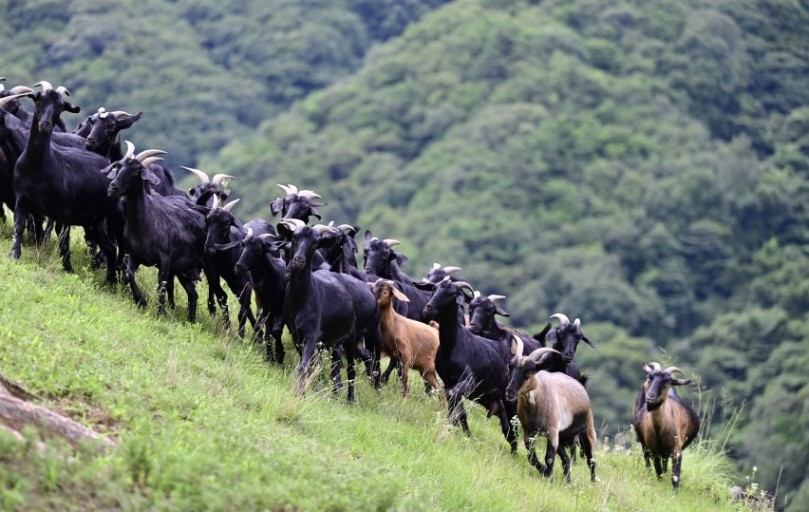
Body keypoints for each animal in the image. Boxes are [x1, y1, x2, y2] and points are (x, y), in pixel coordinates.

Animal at [103, 141, 206, 321]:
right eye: (118, 166)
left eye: (136, 171)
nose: (112, 188)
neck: (145, 224)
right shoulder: (134, 255)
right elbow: (129, 274)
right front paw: (141, 302)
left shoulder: (165, 260)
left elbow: (161, 286)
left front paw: (161, 313)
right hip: (183, 270)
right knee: (193, 294)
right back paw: (191, 322)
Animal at [421, 277, 518, 454]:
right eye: (433, 289)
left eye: (452, 294)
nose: (428, 308)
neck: (452, 344)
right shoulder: (448, 382)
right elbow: (459, 412)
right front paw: (463, 434)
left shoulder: (469, 381)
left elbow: (456, 405)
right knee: (507, 430)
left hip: (510, 401)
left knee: (513, 431)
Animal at [505, 335, 597, 482]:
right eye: (510, 367)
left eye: (530, 372)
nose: (510, 392)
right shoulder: (528, 432)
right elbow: (531, 457)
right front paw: (544, 472)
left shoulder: (552, 432)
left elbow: (548, 458)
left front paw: (549, 478)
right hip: (561, 435)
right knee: (566, 459)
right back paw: (568, 482)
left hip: (587, 428)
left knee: (591, 460)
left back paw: (593, 482)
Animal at [633, 362, 700, 491]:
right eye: (650, 377)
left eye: (667, 382)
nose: (650, 397)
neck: (660, 431)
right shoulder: (654, 451)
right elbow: (659, 472)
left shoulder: (677, 451)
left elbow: (675, 476)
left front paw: (675, 493)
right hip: (645, 445)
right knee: (648, 462)